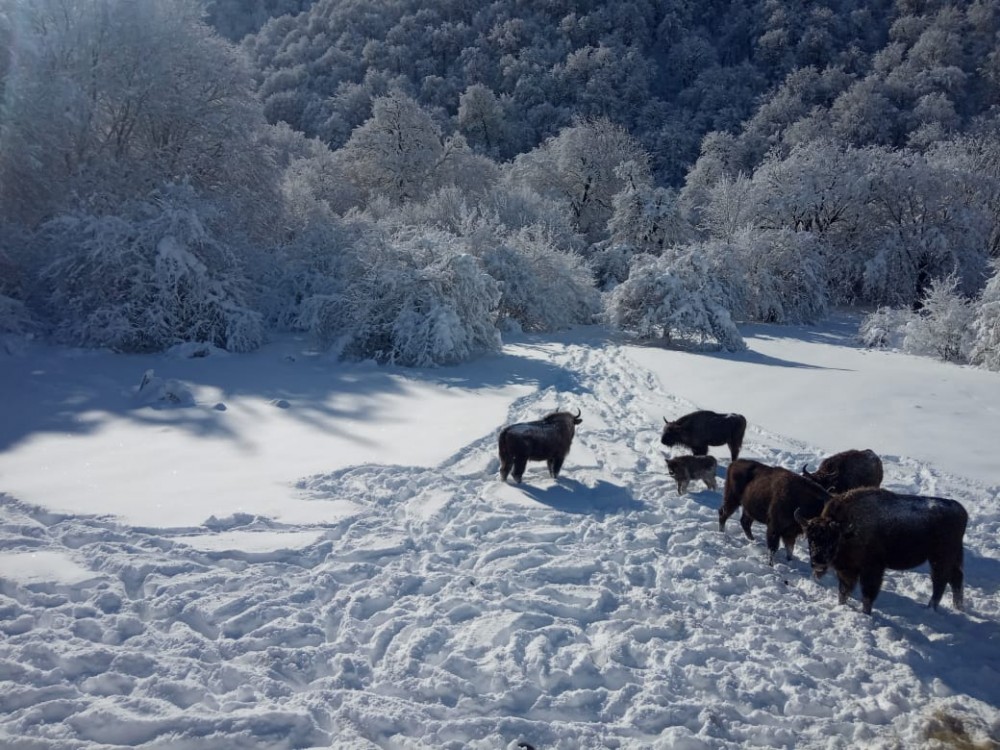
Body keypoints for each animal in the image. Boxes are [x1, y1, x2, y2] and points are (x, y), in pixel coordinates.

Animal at [792, 488, 964, 616]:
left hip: (939, 559)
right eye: (810, 537)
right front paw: (842, 606)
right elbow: (843, 592)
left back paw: (930, 609)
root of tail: (960, 510)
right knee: (955, 579)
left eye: (833, 539)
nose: (818, 562)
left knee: (940, 582)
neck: (848, 530)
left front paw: (866, 614)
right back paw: (957, 607)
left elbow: (867, 595)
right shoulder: (847, 570)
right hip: (951, 558)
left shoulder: (871, 570)